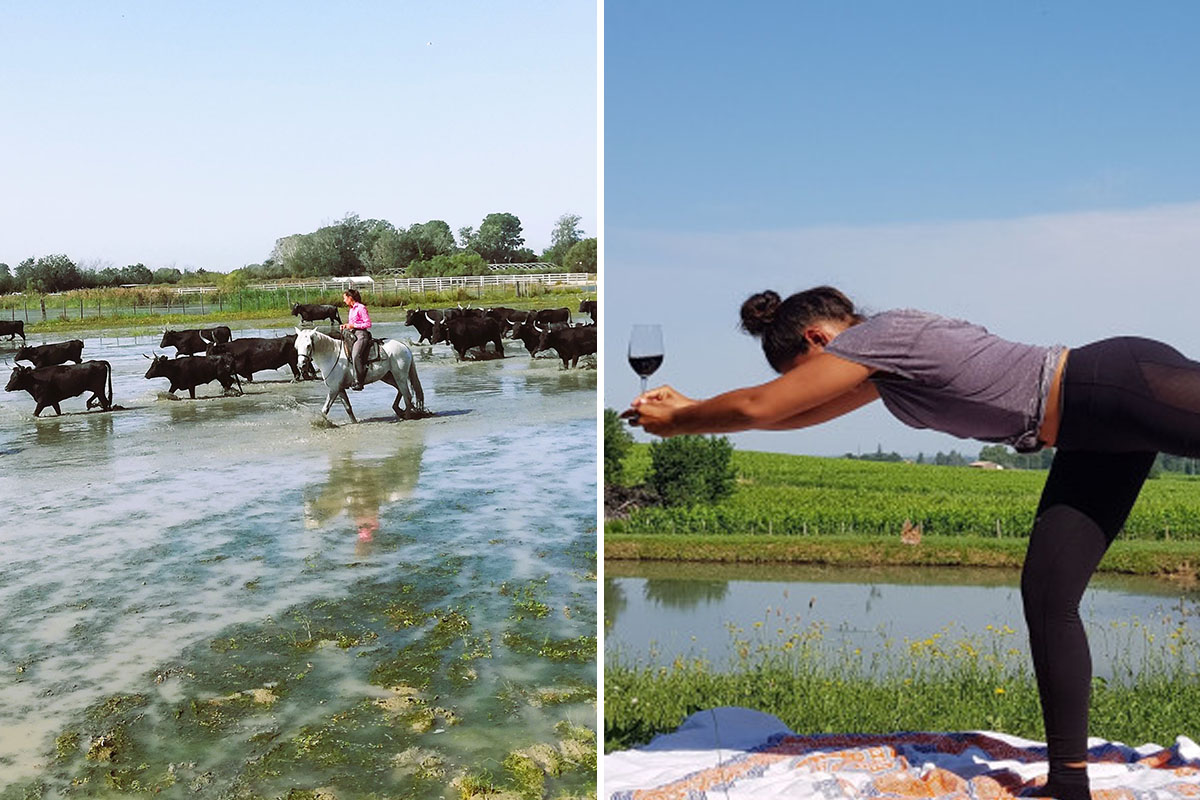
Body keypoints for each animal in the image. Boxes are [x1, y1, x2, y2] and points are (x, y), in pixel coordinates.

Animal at [295, 326, 427, 422]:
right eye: (296, 346)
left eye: (308, 345)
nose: (301, 365)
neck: (332, 355)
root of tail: (404, 347)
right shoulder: (339, 388)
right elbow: (348, 408)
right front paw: (354, 422)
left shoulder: (334, 389)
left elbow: (325, 409)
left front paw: (322, 423)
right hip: (388, 376)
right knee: (401, 391)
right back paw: (400, 410)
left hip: (400, 376)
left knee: (407, 396)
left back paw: (407, 416)